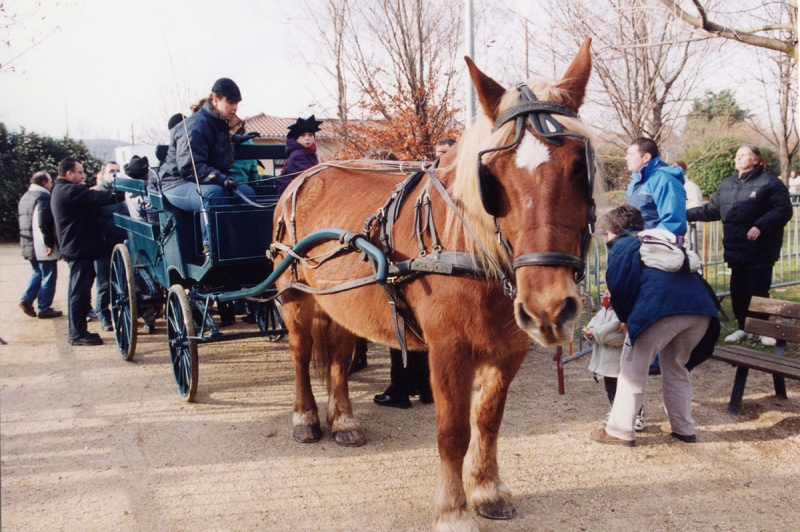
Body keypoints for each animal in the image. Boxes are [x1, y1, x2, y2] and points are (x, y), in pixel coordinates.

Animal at [276, 39, 592, 528]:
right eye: (491, 176)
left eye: (580, 166)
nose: (548, 307)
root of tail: (306, 176)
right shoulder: (448, 351)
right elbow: (453, 431)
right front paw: (453, 510)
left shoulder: (509, 350)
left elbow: (488, 420)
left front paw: (487, 490)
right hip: (294, 299)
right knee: (300, 354)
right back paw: (306, 418)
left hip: (340, 304)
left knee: (339, 359)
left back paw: (344, 420)